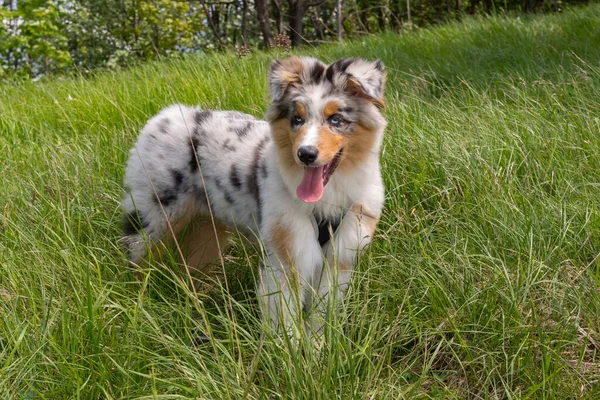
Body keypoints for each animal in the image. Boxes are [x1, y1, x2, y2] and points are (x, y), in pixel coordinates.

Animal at [122, 56, 386, 336]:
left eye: (336, 120)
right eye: (296, 119)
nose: (305, 154)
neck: (327, 198)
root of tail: (164, 115)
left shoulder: (341, 256)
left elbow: (321, 314)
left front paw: (318, 345)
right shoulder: (284, 255)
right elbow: (286, 321)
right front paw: (290, 348)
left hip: (206, 230)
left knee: (191, 270)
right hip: (153, 219)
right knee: (137, 263)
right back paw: (137, 307)